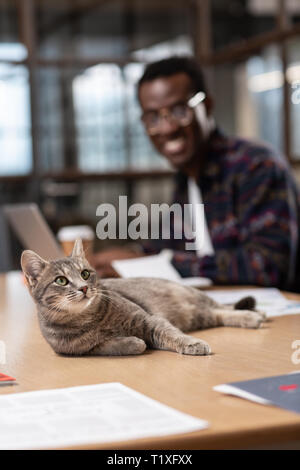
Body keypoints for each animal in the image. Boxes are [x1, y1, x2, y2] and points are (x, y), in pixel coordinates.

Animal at [20, 239, 264, 356]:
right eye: (61, 280)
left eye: (85, 274)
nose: (84, 288)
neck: (89, 320)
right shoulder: (80, 350)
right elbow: (112, 345)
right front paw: (134, 342)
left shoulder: (151, 320)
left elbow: (173, 335)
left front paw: (191, 343)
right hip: (198, 316)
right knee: (219, 313)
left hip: (195, 302)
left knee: (223, 307)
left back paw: (255, 314)